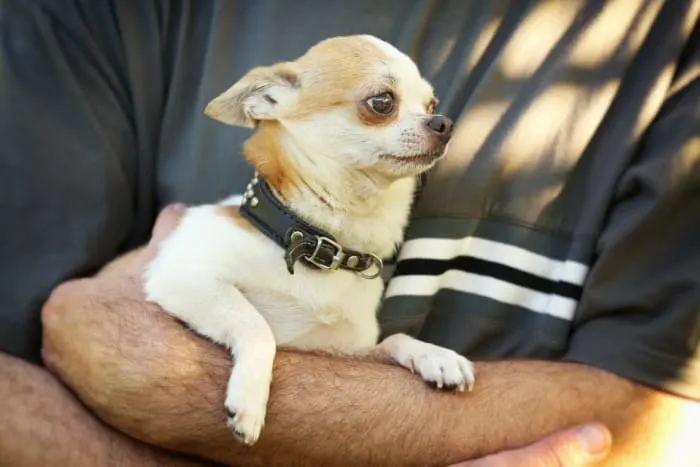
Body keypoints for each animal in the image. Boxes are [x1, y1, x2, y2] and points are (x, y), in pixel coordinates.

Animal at [137, 35, 476, 446]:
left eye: (431, 105)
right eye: (382, 102)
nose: (445, 122)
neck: (320, 247)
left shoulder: (350, 350)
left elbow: (392, 340)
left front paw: (435, 355)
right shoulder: (183, 279)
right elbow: (258, 327)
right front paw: (249, 400)